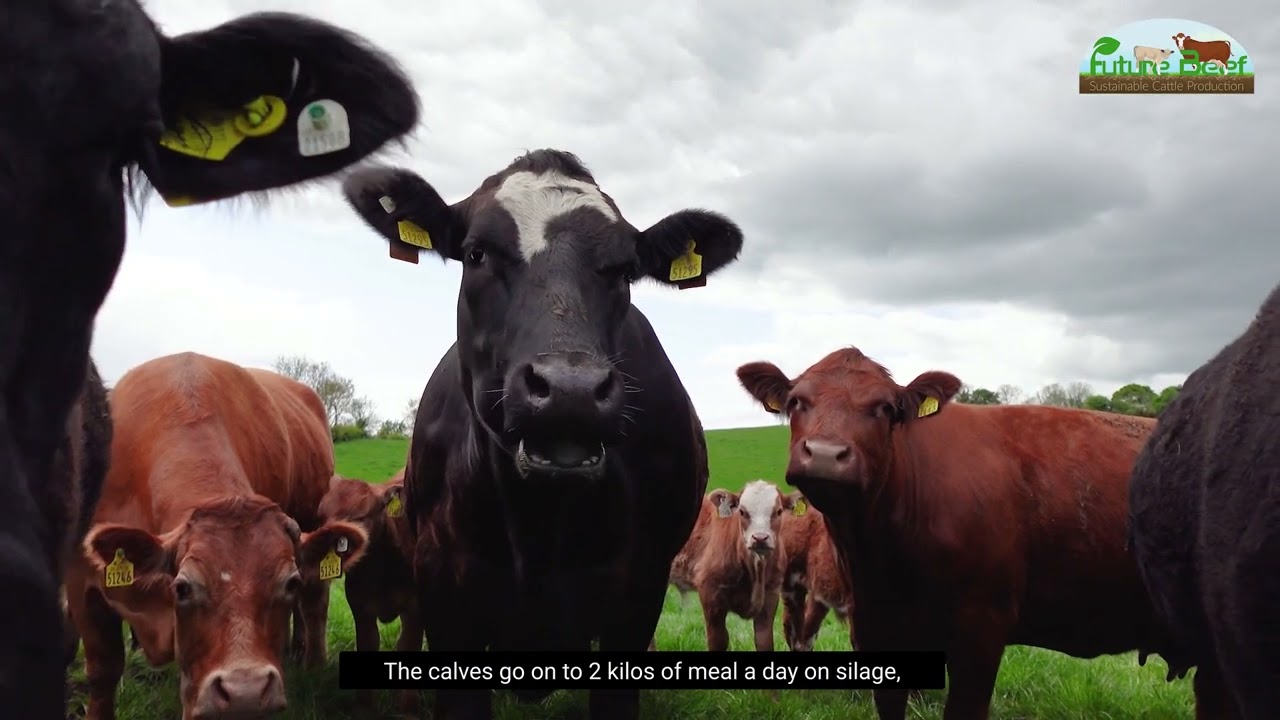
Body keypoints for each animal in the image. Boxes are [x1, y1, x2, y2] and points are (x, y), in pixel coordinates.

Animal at [64, 352, 369, 720]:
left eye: (289, 583)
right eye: (182, 587)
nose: (245, 691)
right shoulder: (82, 581)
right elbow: (103, 670)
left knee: (314, 602)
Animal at [317, 469, 421, 715]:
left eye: (360, 517)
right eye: (321, 516)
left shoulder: (416, 608)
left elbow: (409, 645)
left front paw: (408, 709)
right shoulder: (361, 609)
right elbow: (368, 644)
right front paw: (363, 707)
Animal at [340, 148, 744, 720]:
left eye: (624, 270)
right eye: (477, 254)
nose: (570, 389)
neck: (539, 526)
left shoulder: (640, 589)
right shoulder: (443, 592)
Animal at [666, 482, 796, 652]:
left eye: (779, 511)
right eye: (742, 512)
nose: (760, 538)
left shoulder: (771, 595)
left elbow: (764, 640)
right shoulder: (710, 593)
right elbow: (718, 641)